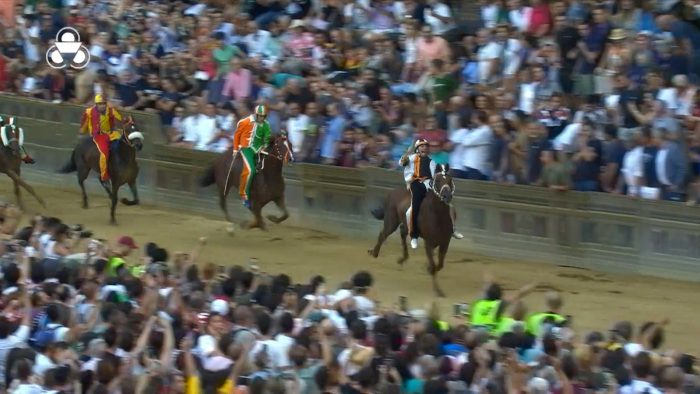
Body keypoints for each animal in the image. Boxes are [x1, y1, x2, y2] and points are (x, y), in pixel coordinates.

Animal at [370, 165, 456, 298]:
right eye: (438, 181)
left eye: (450, 180)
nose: (447, 196)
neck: (438, 215)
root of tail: (392, 192)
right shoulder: (429, 243)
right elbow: (433, 266)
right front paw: (438, 290)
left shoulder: (445, 243)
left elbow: (439, 265)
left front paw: (429, 271)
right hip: (391, 221)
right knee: (383, 234)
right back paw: (374, 253)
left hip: (404, 224)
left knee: (402, 233)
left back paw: (401, 259)